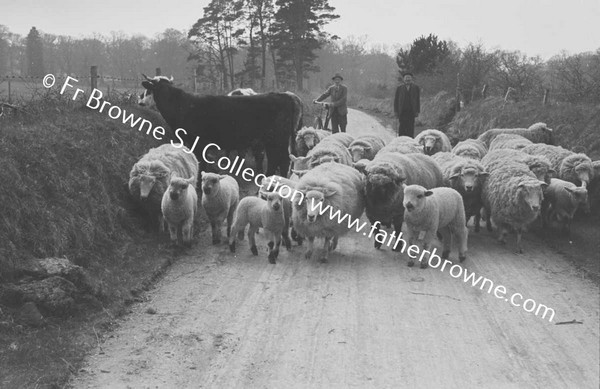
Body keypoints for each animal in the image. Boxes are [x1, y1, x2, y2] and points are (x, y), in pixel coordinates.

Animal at [138, 75, 302, 175]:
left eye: (148, 90)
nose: (139, 100)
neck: (182, 105)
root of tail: (285, 95)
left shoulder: (198, 142)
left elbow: (201, 164)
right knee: (277, 161)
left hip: (276, 140)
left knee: (282, 161)